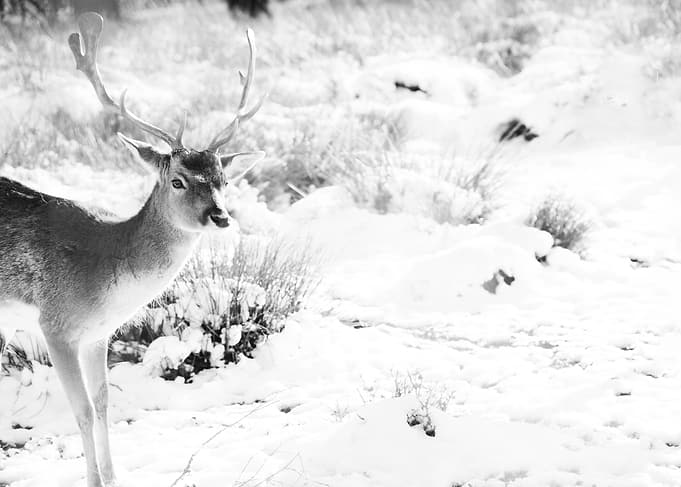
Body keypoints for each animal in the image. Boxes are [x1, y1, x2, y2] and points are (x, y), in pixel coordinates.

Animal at [0, 12, 265, 487]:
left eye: (224, 180)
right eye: (177, 180)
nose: (220, 216)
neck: (106, 270)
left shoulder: (97, 334)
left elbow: (104, 405)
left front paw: (111, 477)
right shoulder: (55, 324)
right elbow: (83, 412)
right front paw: (91, 480)